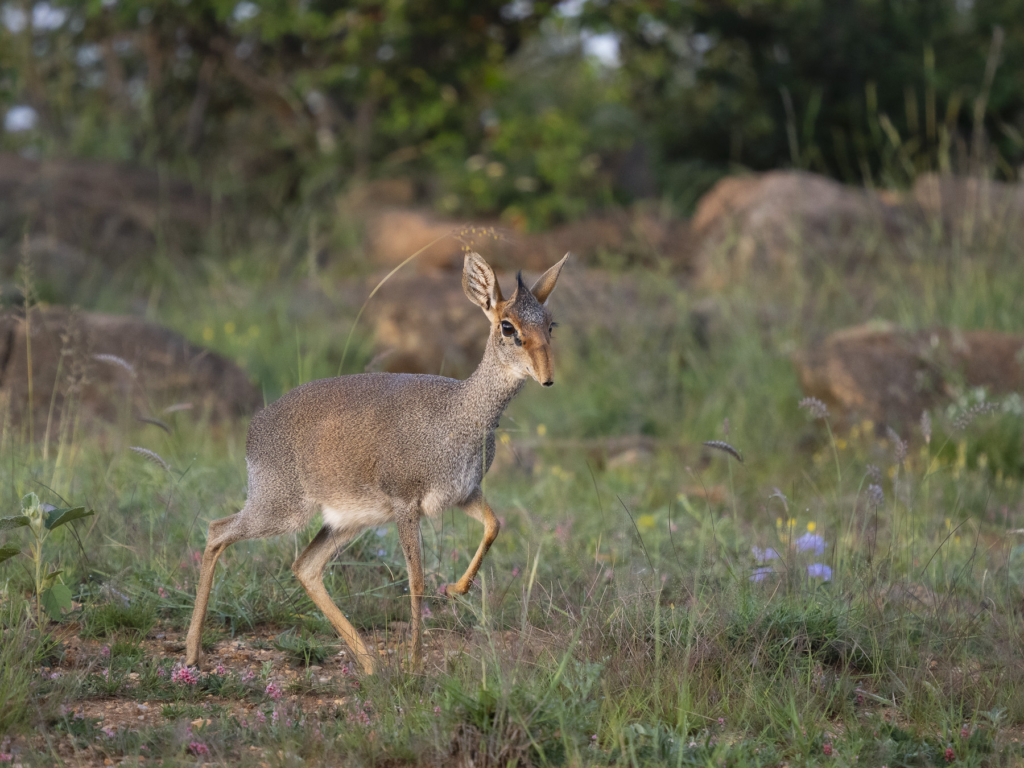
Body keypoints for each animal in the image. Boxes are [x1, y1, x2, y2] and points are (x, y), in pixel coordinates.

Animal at [184, 252, 569, 671]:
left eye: (550, 324)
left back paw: (371, 665)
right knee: (216, 531)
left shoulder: (463, 494)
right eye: (507, 326)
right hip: (280, 510)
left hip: (345, 521)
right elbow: (416, 581)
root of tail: (254, 428)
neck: (462, 414)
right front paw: (415, 665)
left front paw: (456, 589)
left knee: (305, 566)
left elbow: (494, 525)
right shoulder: (406, 503)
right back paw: (192, 654)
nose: (548, 377)